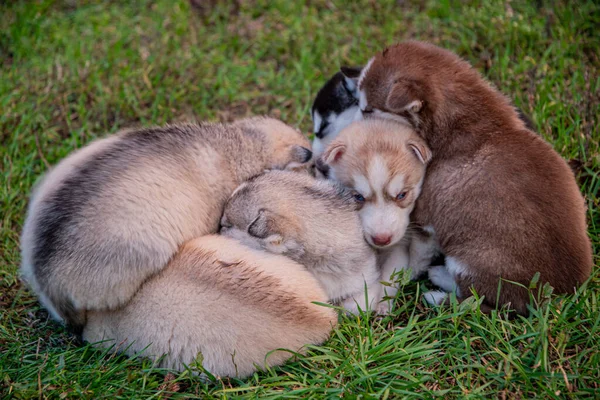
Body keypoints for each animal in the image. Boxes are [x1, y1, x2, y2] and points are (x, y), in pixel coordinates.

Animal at [316, 119, 434, 312]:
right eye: (358, 197)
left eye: (402, 195)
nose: (381, 239)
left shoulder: (400, 244)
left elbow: (391, 273)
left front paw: (383, 303)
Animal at [354, 41, 592, 316]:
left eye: (366, 109)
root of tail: (558, 298)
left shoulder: (427, 218)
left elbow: (417, 256)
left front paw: (405, 276)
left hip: (470, 258)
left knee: (475, 300)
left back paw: (437, 288)